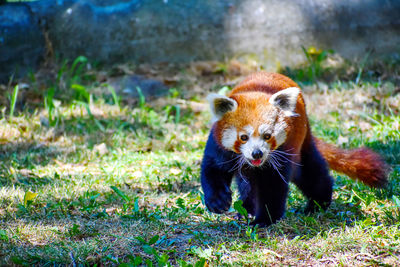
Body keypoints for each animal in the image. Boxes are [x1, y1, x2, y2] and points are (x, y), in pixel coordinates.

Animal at [202, 71, 390, 228]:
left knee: (309, 172)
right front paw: (218, 201)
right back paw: (247, 209)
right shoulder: (219, 146)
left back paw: (318, 204)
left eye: (267, 136)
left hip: (300, 141)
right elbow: (213, 170)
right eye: (243, 137)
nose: (257, 153)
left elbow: (272, 185)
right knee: (248, 183)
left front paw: (265, 219)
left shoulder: (282, 151)